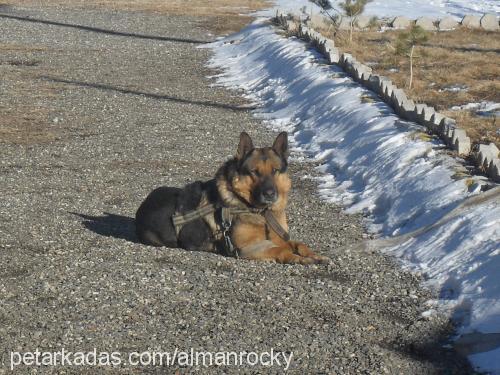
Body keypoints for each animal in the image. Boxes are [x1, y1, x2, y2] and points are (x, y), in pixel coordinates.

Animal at [136, 132, 332, 264]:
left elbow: (298, 244)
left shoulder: (277, 238)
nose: (270, 194)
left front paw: (313, 254)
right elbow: (281, 249)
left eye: (275, 170)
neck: (262, 213)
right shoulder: (246, 249)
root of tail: (143, 206)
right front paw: (297, 258)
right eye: (254, 172)